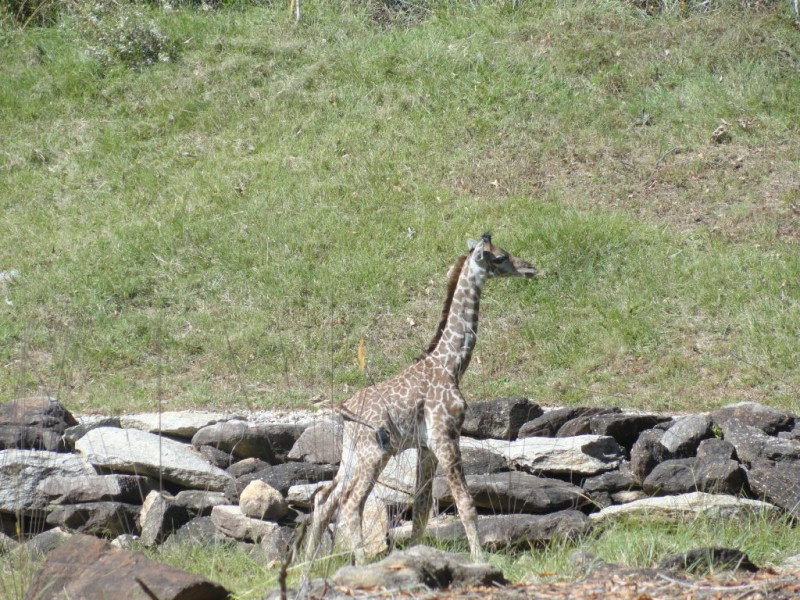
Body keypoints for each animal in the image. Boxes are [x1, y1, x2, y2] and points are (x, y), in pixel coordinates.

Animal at [306, 233, 536, 564]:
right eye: (501, 257)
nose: (530, 268)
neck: (451, 364)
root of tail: (345, 410)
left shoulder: (426, 446)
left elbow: (422, 507)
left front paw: (417, 555)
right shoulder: (445, 436)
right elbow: (465, 503)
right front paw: (480, 560)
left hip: (351, 453)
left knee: (325, 498)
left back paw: (304, 567)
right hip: (374, 453)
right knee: (350, 504)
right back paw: (358, 563)